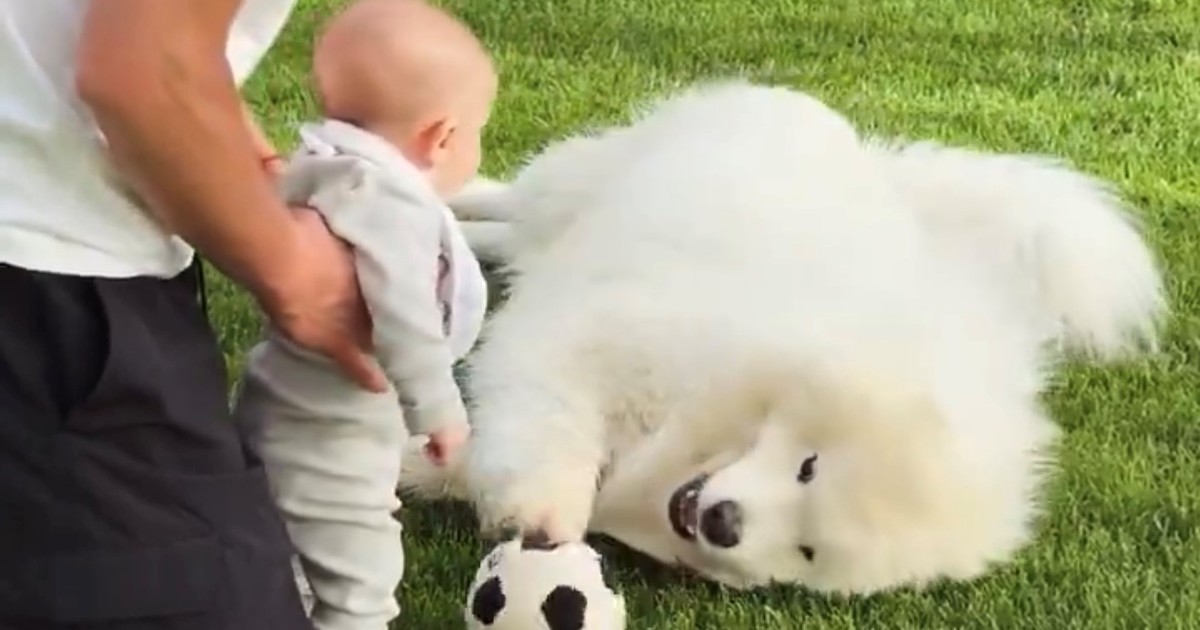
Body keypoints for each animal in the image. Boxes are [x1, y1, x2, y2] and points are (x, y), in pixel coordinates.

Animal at [400, 81, 1165, 594]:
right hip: (576, 184)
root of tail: (876, 161)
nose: (723, 523)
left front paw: (426, 471)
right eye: (809, 466)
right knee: (510, 199)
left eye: (807, 550)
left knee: (506, 241)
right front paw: (539, 513)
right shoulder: (588, 345)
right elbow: (547, 428)